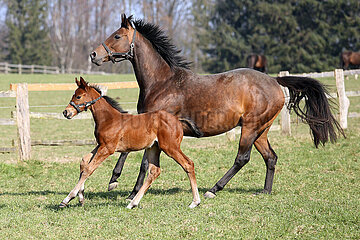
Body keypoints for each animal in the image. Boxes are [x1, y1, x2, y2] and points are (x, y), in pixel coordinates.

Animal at [59, 77, 200, 208]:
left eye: (78, 96)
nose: (66, 112)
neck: (109, 119)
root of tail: (177, 120)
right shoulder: (101, 145)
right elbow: (84, 161)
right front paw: (80, 197)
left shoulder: (108, 148)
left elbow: (89, 169)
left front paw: (67, 199)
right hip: (154, 148)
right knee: (154, 171)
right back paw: (133, 203)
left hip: (170, 147)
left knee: (188, 164)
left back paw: (195, 202)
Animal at [89, 14, 344, 200]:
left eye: (117, 36)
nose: (93, 55)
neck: (162, 82)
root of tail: (274, 81)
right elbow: (130, 152)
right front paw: (119, 184)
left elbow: (141, 162)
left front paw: (121, 186)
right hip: (261, 131)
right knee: (270, 157)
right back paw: (265, 191)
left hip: (250, 128)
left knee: (242, 158)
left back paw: (213, 189)